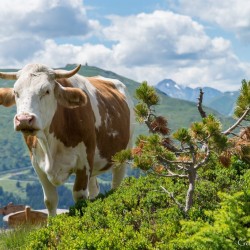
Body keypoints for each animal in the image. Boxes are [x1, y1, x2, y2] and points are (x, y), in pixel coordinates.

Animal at [0, 63, 135, 216]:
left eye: (47, 91)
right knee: (94, 190)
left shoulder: (84, 162)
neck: (50, 146)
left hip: (122, 156)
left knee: (116, 185)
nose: (24, 119)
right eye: (16, 92)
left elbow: (80, 197)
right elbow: (50, 200)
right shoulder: (37, 166)